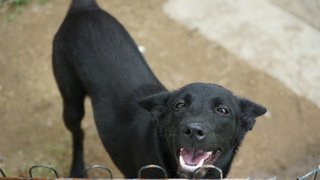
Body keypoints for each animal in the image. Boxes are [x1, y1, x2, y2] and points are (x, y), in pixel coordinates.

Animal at [52, 0, 266, 177]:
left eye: (223, 110)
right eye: (179, 105)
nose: (193, 131)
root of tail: (85, 8)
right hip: (71, 102)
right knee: (78, 133)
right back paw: (77, 169)